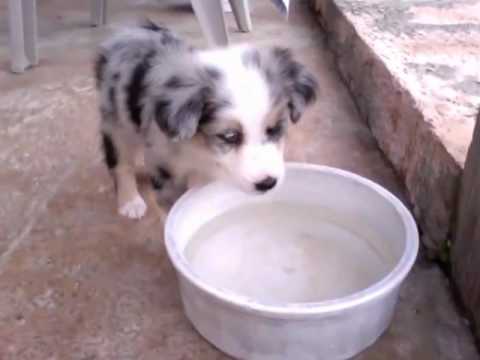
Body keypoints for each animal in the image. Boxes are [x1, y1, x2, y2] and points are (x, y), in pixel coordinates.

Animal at [94, 21, 318, 219]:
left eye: (274, 129)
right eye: (229, 136)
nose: (267, 183)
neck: (200, 148)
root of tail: (129, 30)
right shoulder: (163, 169)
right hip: (116, 123)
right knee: (121, 163)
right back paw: (130, 202)